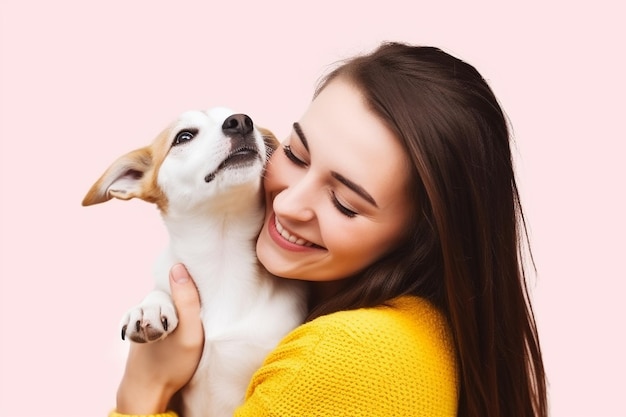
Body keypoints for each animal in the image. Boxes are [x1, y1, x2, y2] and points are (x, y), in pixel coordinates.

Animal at [83, 108, 308, 416]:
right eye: (184, 137)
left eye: (243, 117)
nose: (241, 121)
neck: (223, 257)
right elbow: (159, 289)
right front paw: (149, 308)